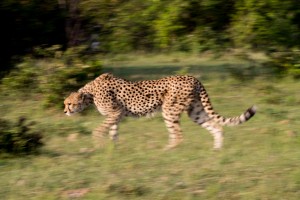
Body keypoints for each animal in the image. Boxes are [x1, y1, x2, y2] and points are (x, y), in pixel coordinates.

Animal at [63, 72, 255, 149]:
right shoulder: (117, 116)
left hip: (169, 110)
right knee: (216, 127)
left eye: (69, 104)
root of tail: (193, 77)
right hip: (195, 112)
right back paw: (216, 150)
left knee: (178, 135)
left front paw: (98, 143)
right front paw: (114, 149)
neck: (90, 93)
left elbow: (100, 129)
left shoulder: (115, 113)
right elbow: (113, 132)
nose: (65, 111)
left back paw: (166, 151)